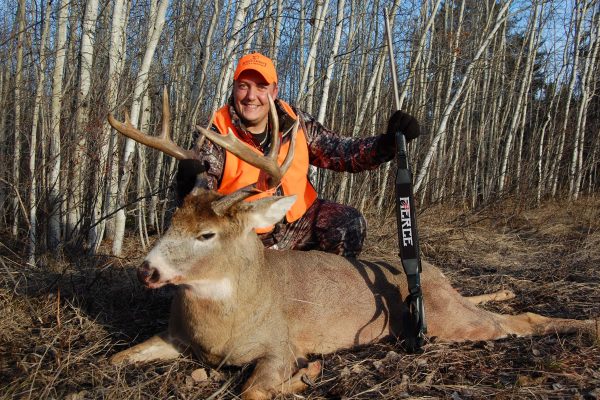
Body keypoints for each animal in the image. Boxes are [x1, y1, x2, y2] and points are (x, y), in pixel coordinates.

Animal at [109, 90, 600, 400]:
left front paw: (308, 373)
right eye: (172, 222)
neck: (220, 325)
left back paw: (586, 326)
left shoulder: (278, 343)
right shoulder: (176, 336)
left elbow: (254, 390)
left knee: (518, 321)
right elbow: (118, 357)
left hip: (447, 319)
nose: (146, 270)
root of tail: (437, 274)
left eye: (206, 234)